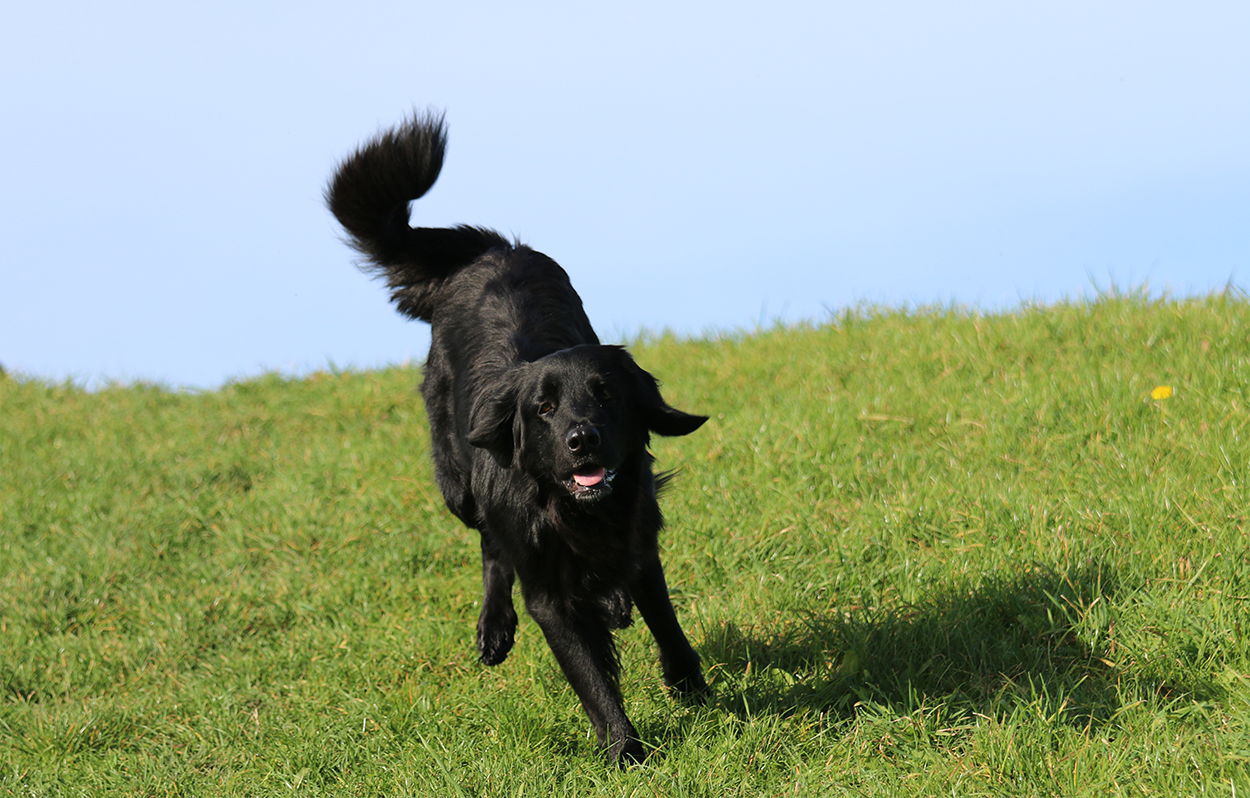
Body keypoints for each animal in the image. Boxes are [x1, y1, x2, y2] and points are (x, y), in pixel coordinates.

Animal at [326, 111, 709, 763]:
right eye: (544, 409)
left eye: (606, 394)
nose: (582, 440)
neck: (576, 513)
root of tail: (493, 250)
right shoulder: (547, 593)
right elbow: (589, 674)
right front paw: (624, 752)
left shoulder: (638, 542)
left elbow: (664, 619)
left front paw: (689, 685)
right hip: (455, 483)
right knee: (488, 543)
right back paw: (494, 625)